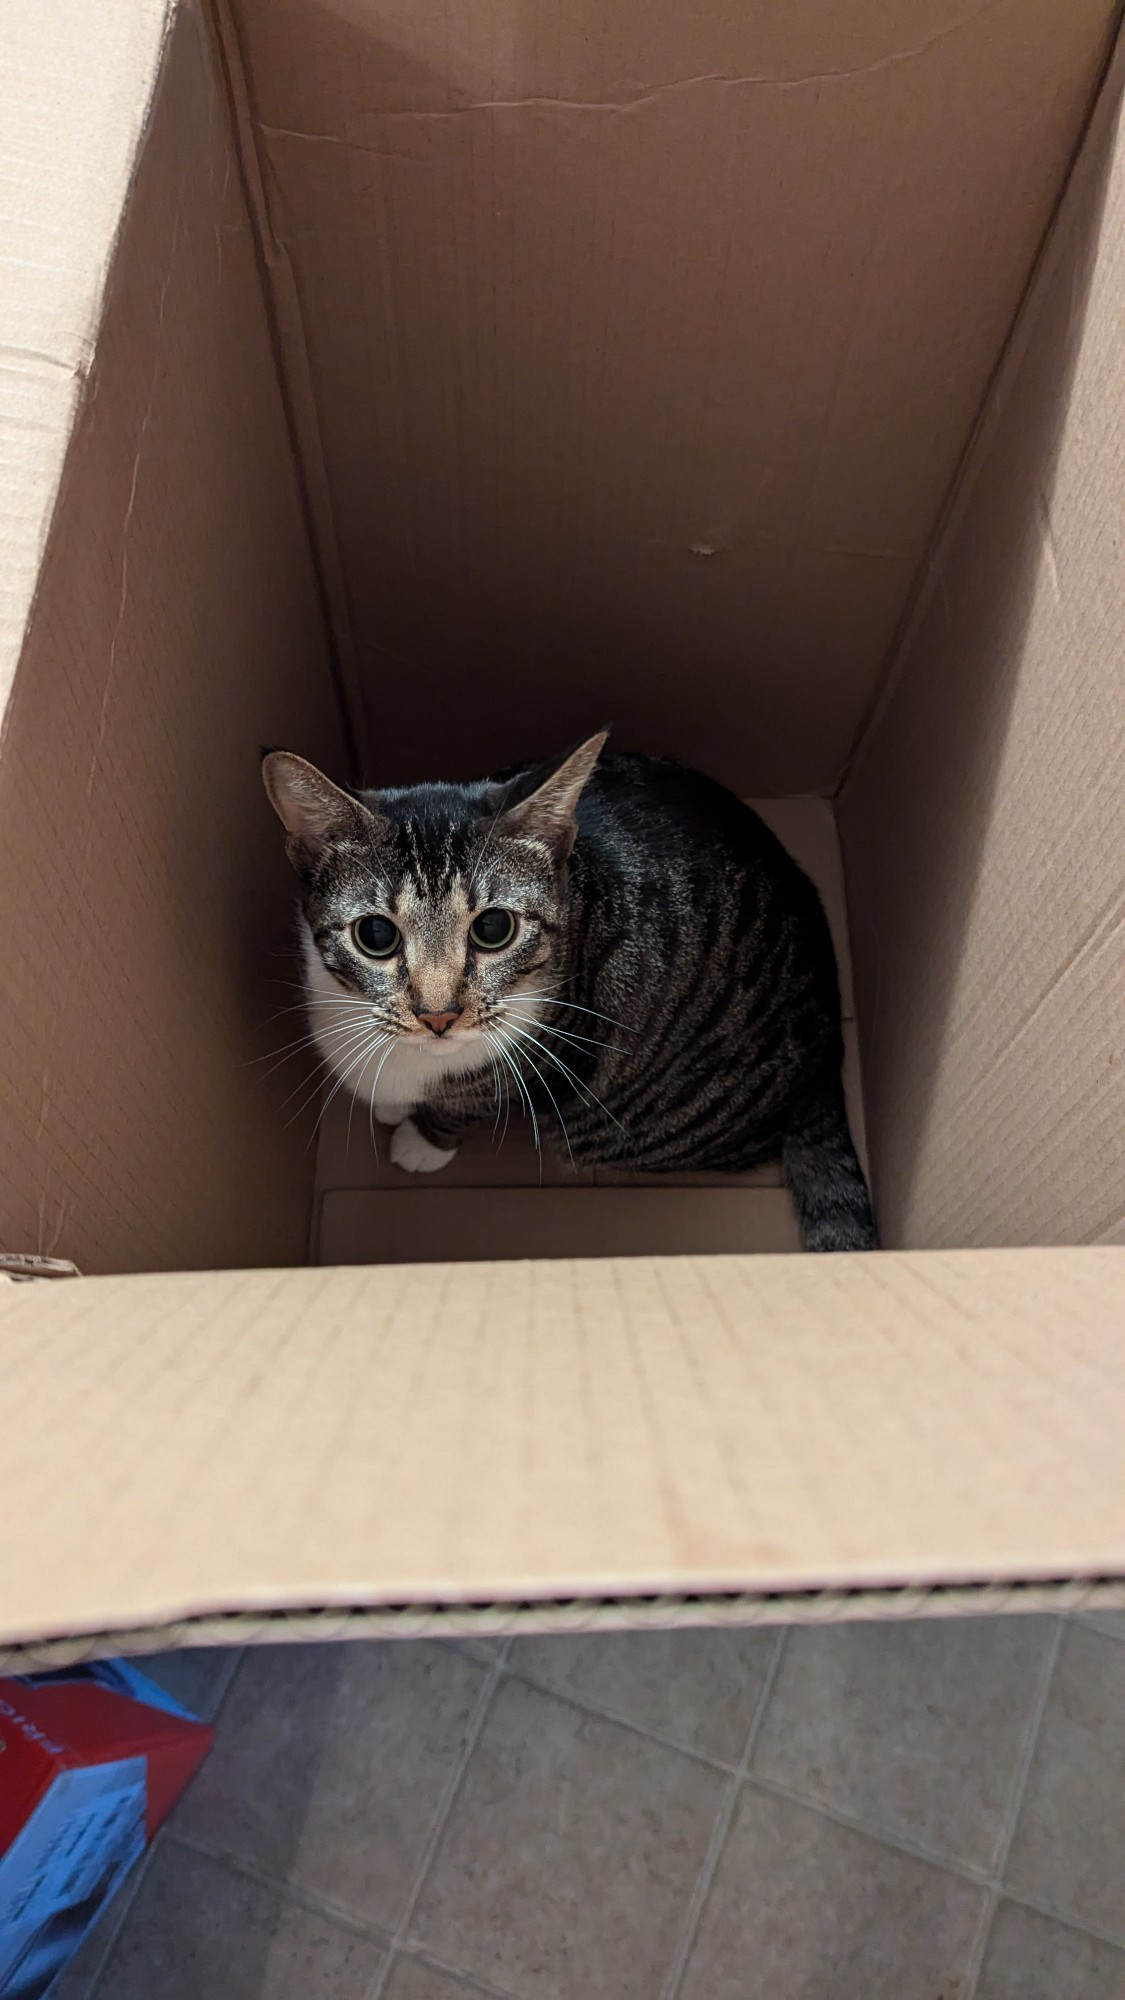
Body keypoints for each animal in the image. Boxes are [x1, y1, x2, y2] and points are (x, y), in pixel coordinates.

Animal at [264, 736, 876, 1248]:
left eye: (494, 928)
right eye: (376, 935)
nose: (439, 1014)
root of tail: (827, 1064)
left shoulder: (554, 1059)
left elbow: (473, 1101)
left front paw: (422, 1139)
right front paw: (395, 1105)